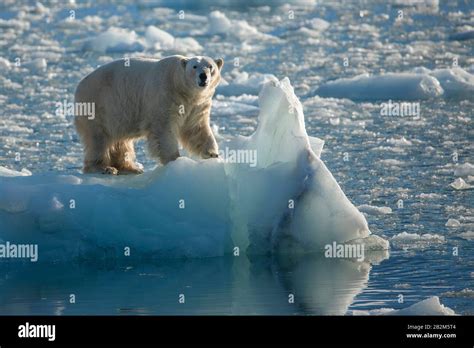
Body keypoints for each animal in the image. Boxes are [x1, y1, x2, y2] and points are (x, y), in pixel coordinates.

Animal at [74, 55, 224, 175]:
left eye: (210, 66)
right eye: (194, 66)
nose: (203, 75)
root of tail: (79, 85)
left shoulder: (197, 105)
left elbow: (196, 128)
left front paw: (213, 154)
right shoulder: (165, 96)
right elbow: (164, 129)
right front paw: (175, 160)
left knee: (121, 142)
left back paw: (130, 168)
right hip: (98, 106)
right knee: (98, 140)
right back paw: (105, 168)